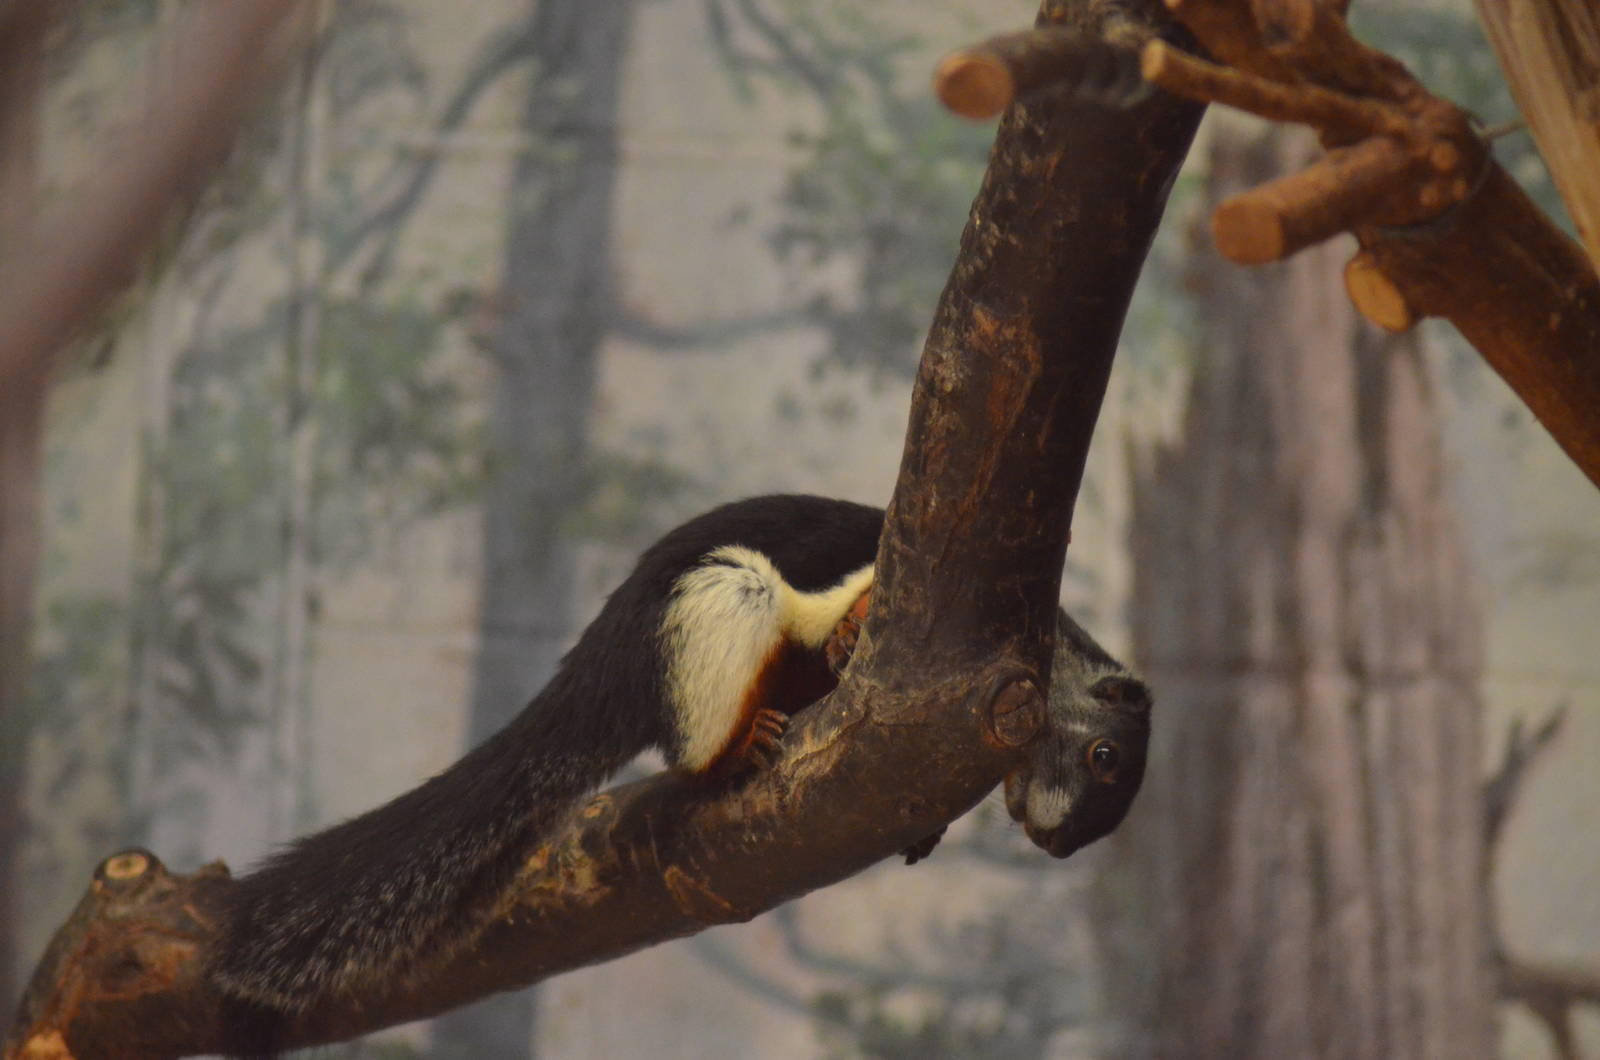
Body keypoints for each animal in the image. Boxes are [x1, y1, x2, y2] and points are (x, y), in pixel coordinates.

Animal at [209, 493, 1152, 1054]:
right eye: (1103, 757)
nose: (1055, 841)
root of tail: (606, 653)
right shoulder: (865, 562)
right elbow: (844, 603)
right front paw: (849, 635)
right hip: (718, 596)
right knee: (694, 748)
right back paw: (742, 745)